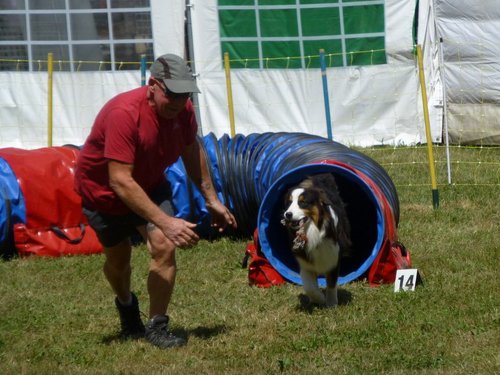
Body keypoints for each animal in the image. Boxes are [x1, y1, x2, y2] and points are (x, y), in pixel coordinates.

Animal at [282, 173, 352, 308]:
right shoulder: (305, 262)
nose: (287, 214)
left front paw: (331, 303)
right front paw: (319, 299)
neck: (313, 230)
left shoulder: (333, 258)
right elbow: (310, 287)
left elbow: (331, 284)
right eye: (289, 202)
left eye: (303, 202)